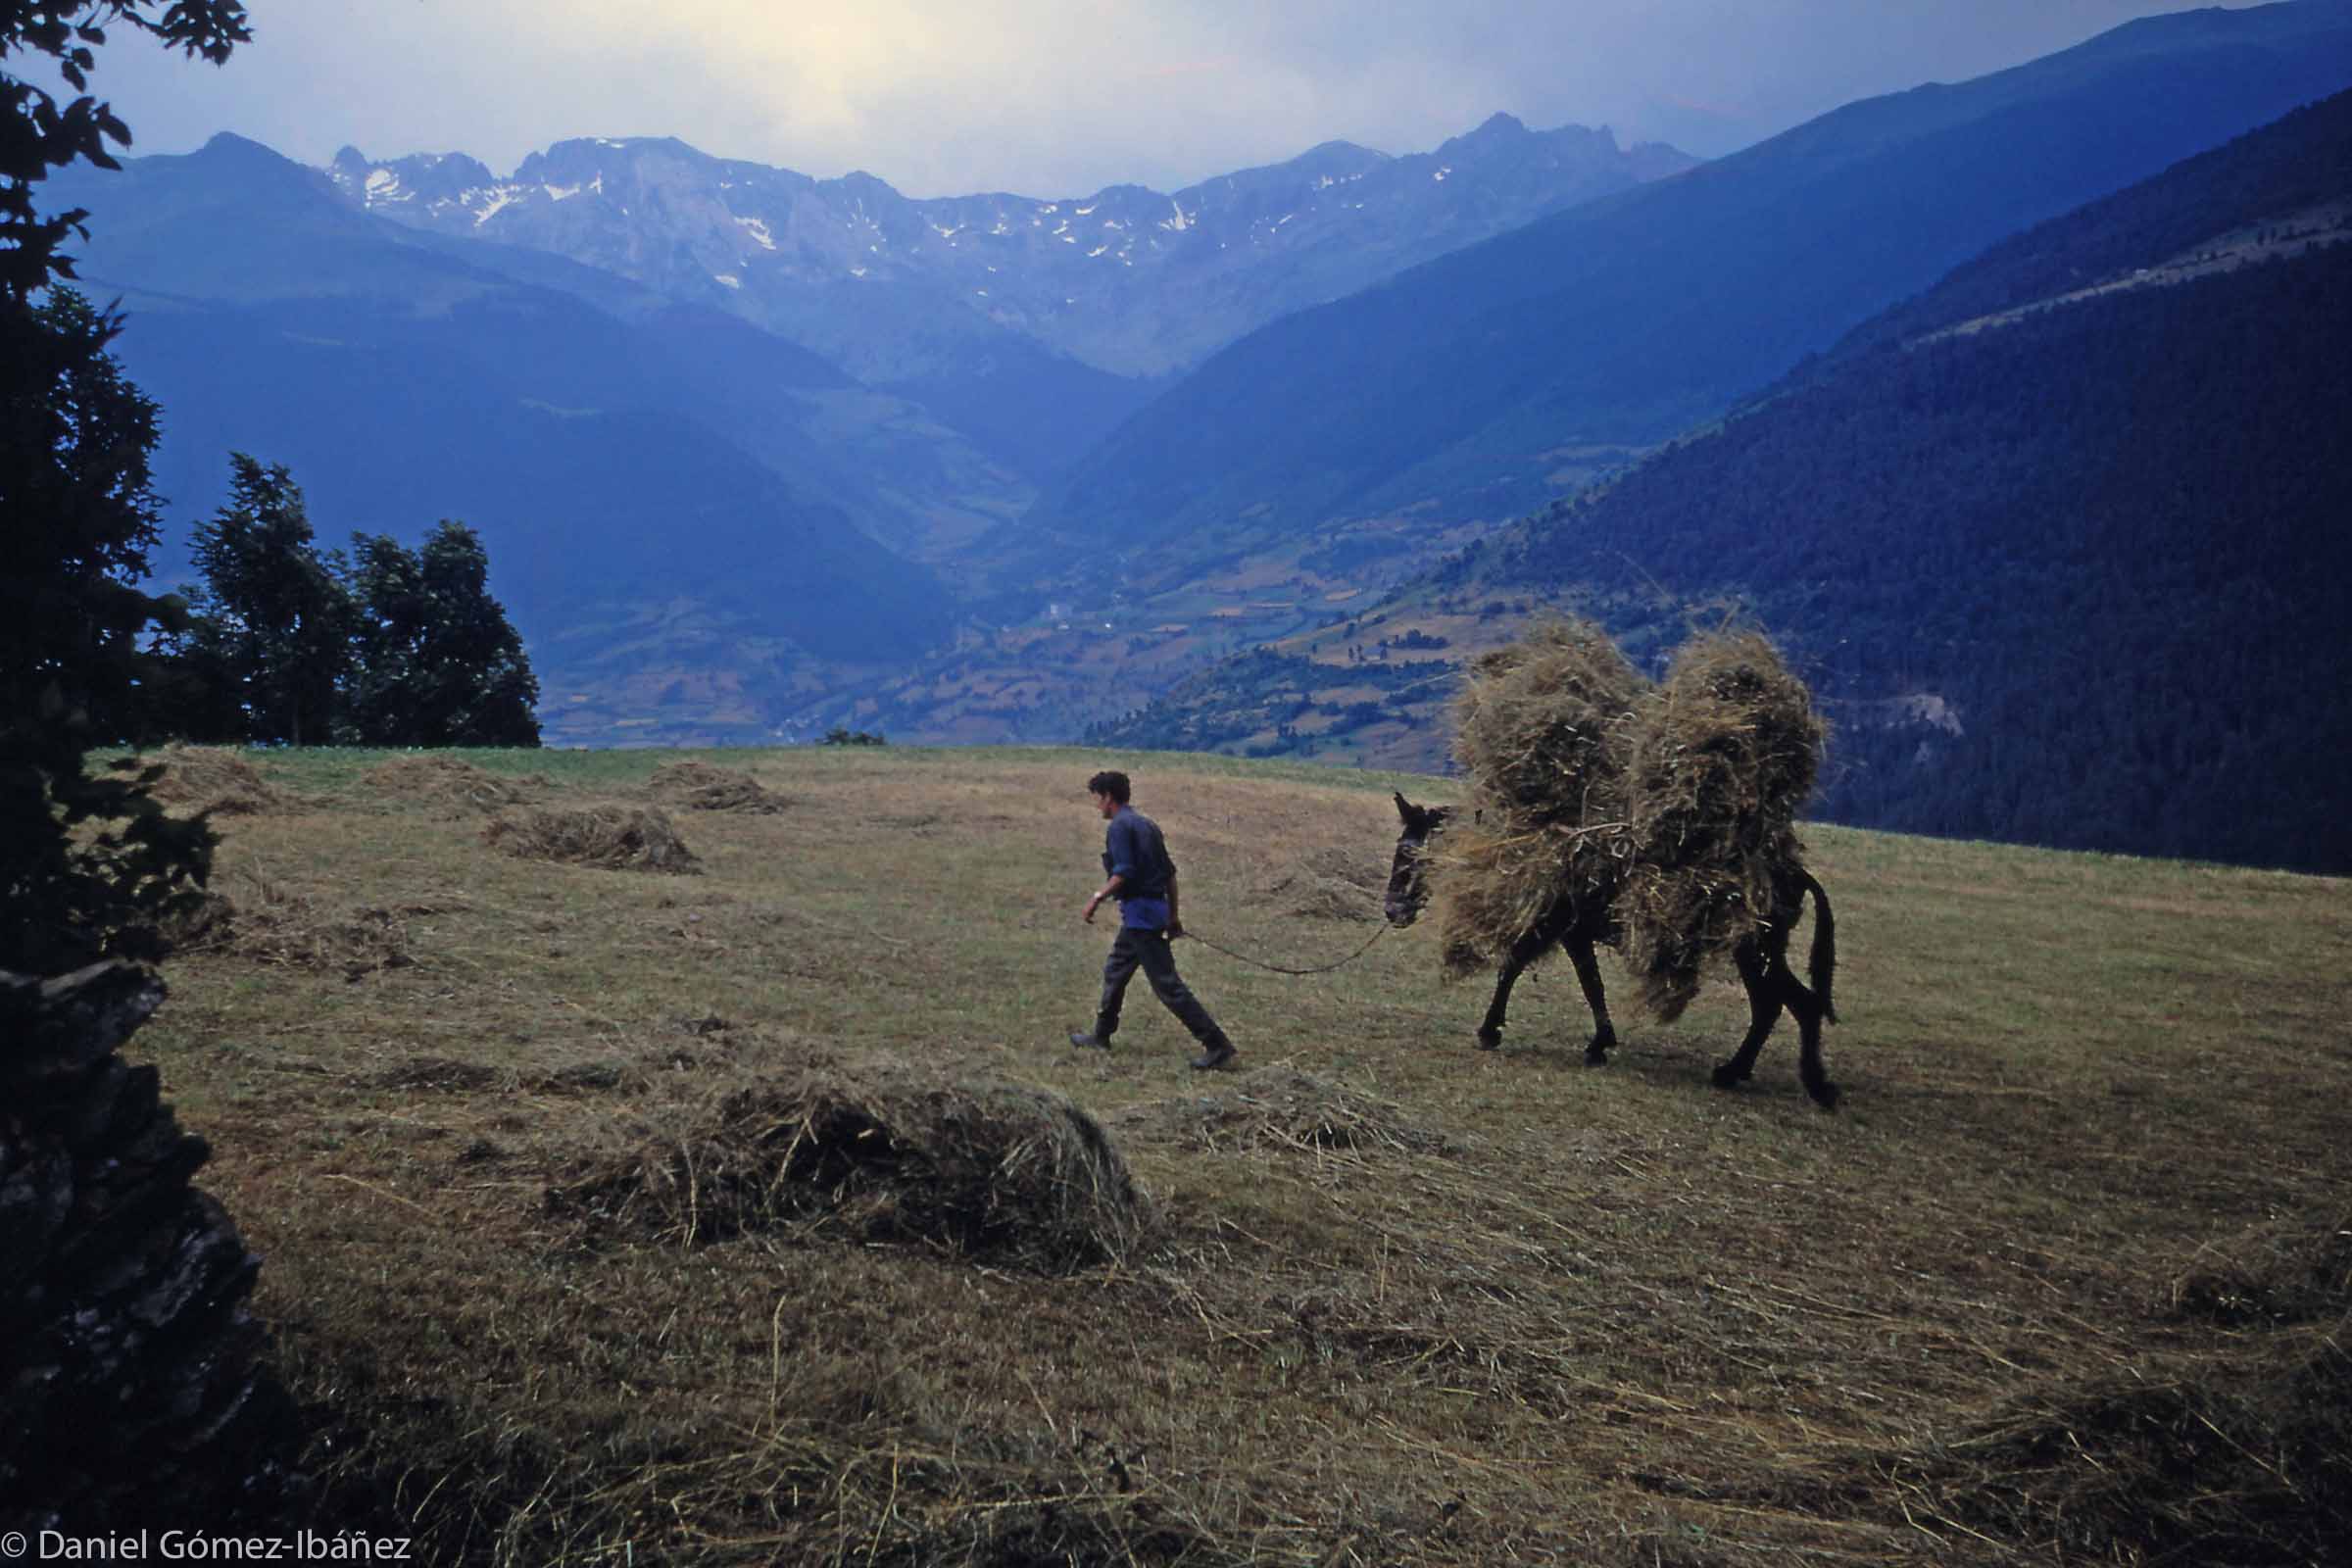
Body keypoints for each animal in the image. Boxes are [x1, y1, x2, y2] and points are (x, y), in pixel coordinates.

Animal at [1383, 799, 1843, 1104]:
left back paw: (1803, 1081)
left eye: (1407, 852)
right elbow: (1589, 984)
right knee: (1779, 1004)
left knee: (1792, 1003)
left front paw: (1490, 1030)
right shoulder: (1572, 934)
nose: (1392, 911)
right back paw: (1743, 1071)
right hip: (1760, 954)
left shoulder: (1557, 928)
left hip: (1754, 952)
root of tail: (1796, 873)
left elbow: (1523, 970)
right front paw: (1601, 1043)